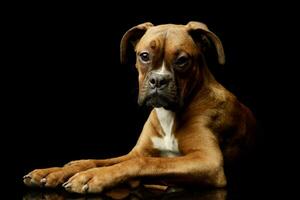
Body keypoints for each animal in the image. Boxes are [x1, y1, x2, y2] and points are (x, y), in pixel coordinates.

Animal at [23, 21, 255, 194]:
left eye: (182, 60)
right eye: (144, 56)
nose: (158, 80)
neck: (169, 114)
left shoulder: (207, 161)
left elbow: (145, 163)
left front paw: (94, 177)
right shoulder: (135, 152)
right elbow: (100, 161)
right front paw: (54, 171)